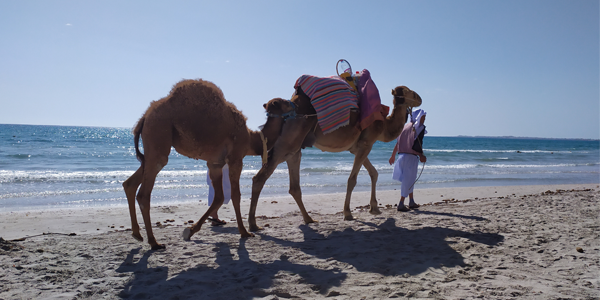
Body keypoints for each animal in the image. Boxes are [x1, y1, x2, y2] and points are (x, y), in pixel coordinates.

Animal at [123, 78, 292, 250]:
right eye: (286, 102)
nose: (295, 105)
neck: (252, 139)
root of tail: (144, 117)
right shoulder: (236, 158)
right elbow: (235, 195)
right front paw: (245, 232)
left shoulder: (215, 164)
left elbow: (219, 197)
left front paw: (190, 231)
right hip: (158, 134)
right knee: (144, 193)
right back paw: (154, 242)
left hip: (152, 148)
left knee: (130, 183)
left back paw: (137, 234)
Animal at [248, 85, 422, 231]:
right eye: (408, 91)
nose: (420, 98)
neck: (384, 125)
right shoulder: (366, 144)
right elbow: (352, 180)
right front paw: (348, 213)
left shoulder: (356, 148)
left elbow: (374, 173)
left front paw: (374, 208)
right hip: (286, 143)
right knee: (259, 178)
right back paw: (253, 225)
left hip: (294, 148)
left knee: (294, 185)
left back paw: (309, 219)